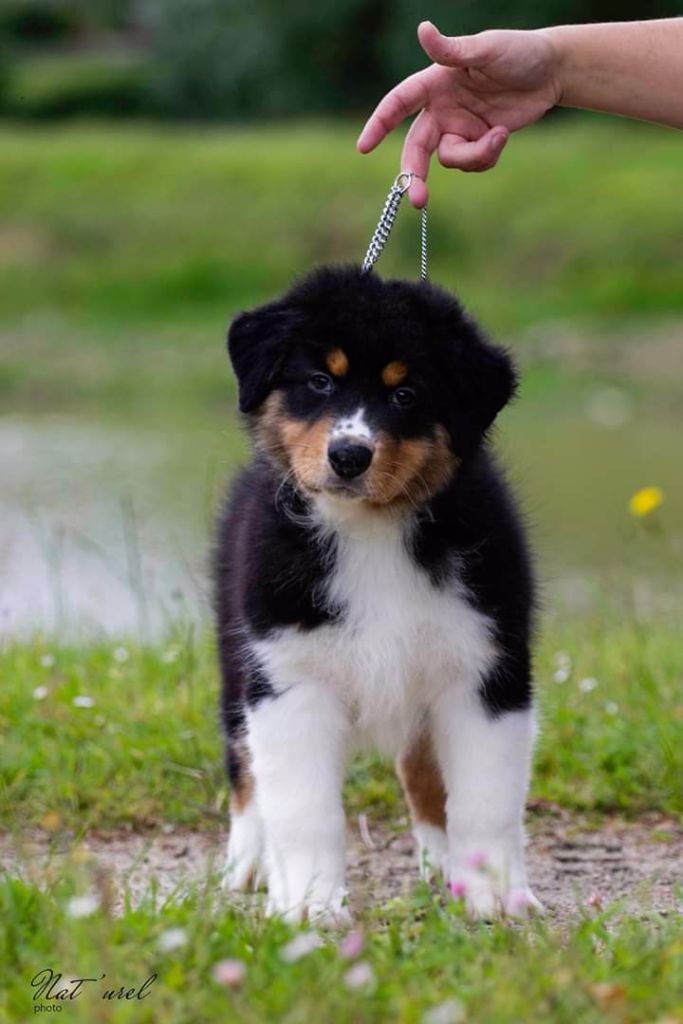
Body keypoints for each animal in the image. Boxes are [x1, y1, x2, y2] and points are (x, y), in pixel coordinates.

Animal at [214, 265, 541, 923]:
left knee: (423, 777)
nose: (348, 455)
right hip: (237, 667)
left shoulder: (487, 671)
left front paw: (492, 897)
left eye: (405, 394)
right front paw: (311, 905)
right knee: (246, 769)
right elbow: (304, 810)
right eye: (319, 381)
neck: (371, 531)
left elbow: (485, 801)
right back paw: (251, 866)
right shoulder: (290, 678)